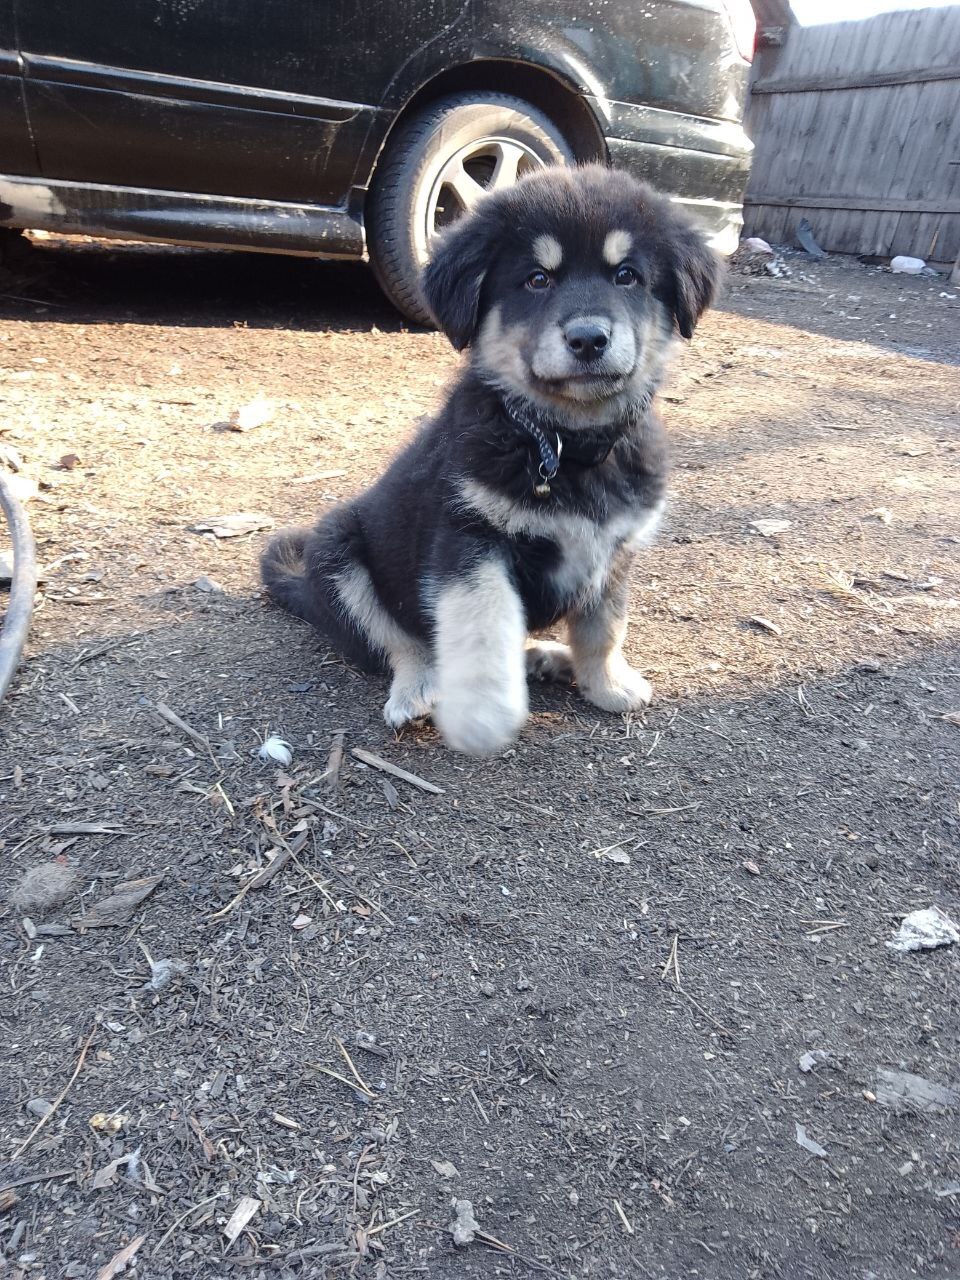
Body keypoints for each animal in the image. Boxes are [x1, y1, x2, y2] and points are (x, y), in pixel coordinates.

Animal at [263, 165, 721, 752]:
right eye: (537, 280)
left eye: (627, 276)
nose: (589, 338)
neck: (561, 443)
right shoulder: (471, 540)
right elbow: (483, 627)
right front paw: (483, 713)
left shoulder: (613, 550)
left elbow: (605, 625)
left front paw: (607, 684)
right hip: (337, 552)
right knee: (400, 642)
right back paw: (419, 689)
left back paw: (548, 658)